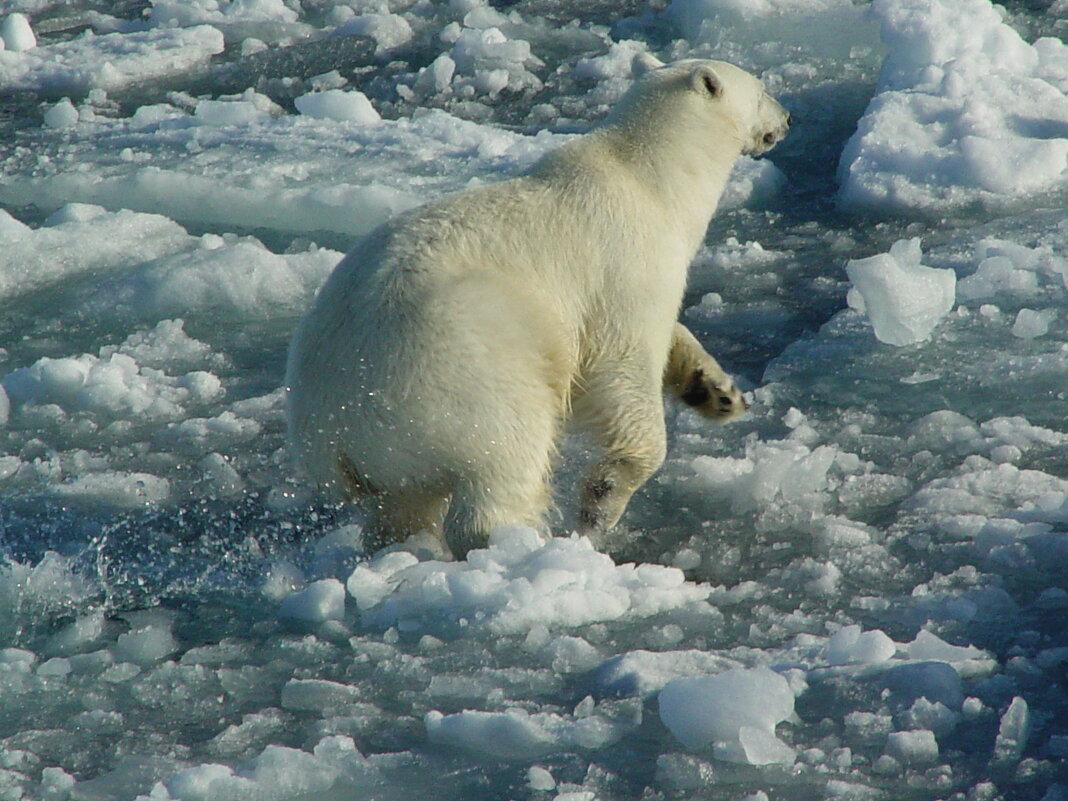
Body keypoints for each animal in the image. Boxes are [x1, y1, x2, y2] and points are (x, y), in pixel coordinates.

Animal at [288, 55, 790, 559]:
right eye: (761, 90)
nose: (786, 119)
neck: (649, 178)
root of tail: (334, 431)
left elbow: (669, 334)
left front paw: (716, 392)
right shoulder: (626, 263)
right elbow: (622, 364)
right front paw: (603, 497)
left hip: (389, 458)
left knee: (401, 509)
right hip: (457, 370)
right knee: (505, 455)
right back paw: (518, 542)